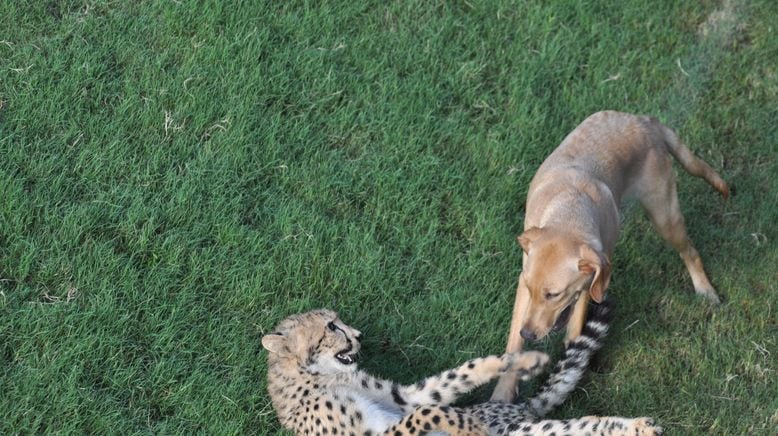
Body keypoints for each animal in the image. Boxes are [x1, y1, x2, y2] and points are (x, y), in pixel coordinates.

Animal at [492, 110, 728, 402]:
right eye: (530, 287)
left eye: (553, 294)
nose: (528, 332)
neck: (568, 212)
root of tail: (644, 121)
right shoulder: (526, 287)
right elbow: (514, 347)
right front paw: (503, 392)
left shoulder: (593, 280)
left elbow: (577, 322)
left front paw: (571, 365)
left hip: (665, 216)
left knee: (690, 252)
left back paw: (705, 289)